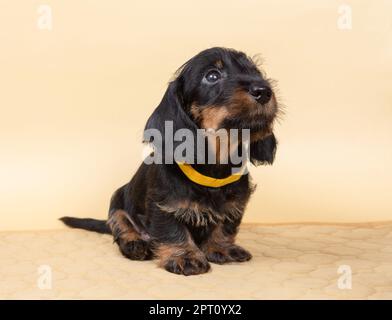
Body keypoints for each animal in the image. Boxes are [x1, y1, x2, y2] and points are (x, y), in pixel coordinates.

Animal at [61, 47, 280, 276]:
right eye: (212, 76)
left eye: (256, 72)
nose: (264, 91)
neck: (213, 163)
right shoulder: (163, 205)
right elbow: (172, 229)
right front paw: (185, 256)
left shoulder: (235, 203)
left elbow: (226, 225)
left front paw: (221, 248)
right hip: (117, 199)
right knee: (120, 223)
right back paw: (134, 244)